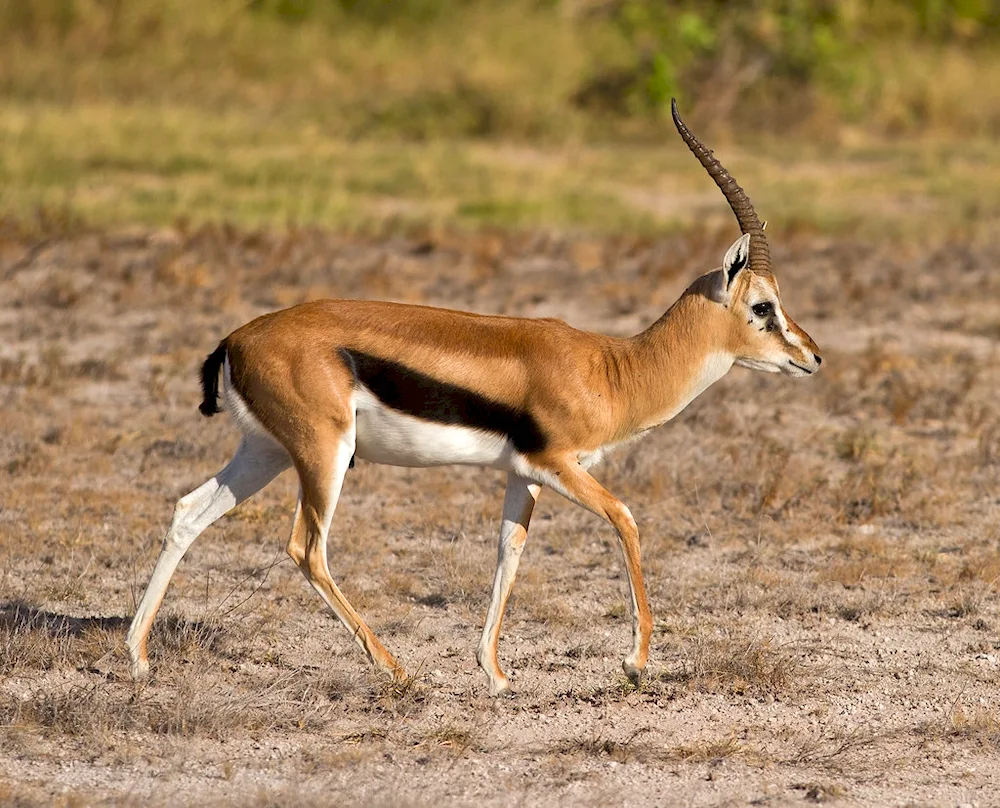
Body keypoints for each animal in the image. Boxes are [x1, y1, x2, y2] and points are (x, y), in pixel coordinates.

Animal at [125, 101, 820, 696]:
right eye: (763, 306)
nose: (813, 357)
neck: (610, 369)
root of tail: (236, 339)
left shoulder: (524, 474)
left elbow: (508, 552)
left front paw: (496, 674)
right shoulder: (560, 465)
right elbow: (626, 519)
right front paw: (634, 662)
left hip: (267, 452)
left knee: (189, 511)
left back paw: (137, 658)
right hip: (325, 454)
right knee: (307, 547)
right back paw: (395, 669)